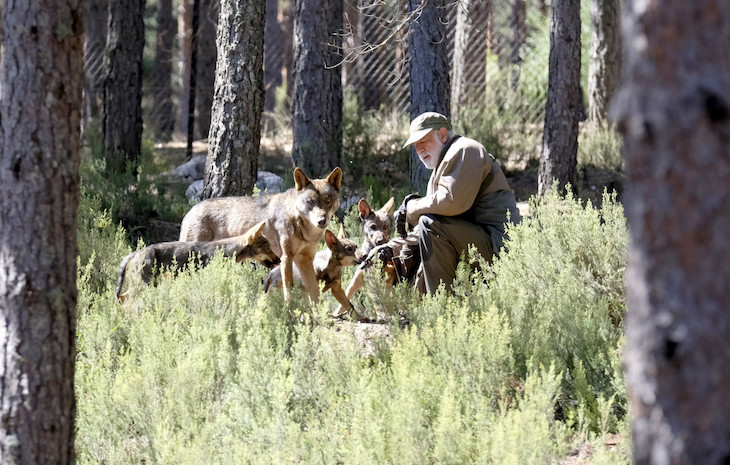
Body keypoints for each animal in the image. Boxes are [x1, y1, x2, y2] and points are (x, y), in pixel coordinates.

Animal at [115, 221, 278, 301]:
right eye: (267, 247)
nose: (279, 260)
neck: (225, 251)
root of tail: (135, 253)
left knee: (121, 298)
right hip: (145, 286)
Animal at [179, 167, 342, 301]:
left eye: (328, 200)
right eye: (310, 202)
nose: (321, 221)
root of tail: (190, 210)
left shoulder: (306, 261)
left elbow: (315, 293)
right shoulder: (286, 259)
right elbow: (289, 291)